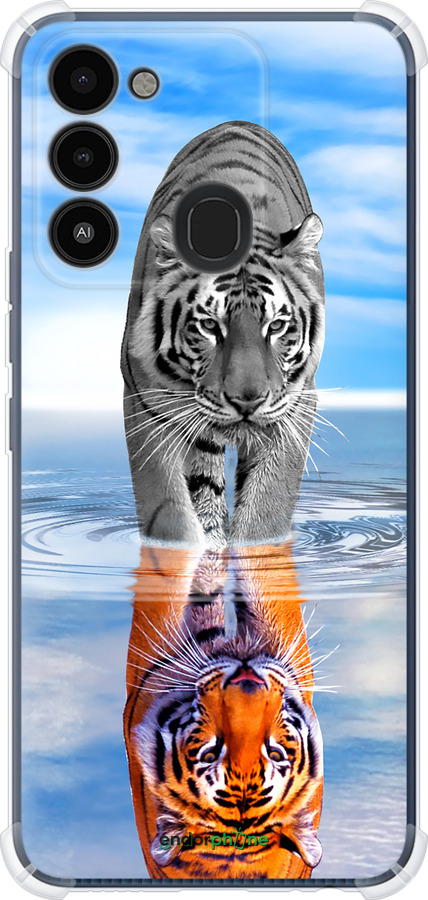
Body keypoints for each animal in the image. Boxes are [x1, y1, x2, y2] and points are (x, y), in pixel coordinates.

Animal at [121, 121, 325, 548]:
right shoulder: (145, 400)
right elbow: (169, 511)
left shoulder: (296, 404)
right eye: (210, 326)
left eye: (276, 326)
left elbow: (267, 509)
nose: (247, 401)